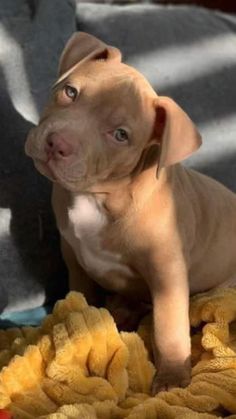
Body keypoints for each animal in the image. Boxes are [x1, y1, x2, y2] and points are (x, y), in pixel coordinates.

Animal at [24, 32, 236, 394]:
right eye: (71, 92)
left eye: (121, 135)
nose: (57, 143)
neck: (99, 198)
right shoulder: (72, 254)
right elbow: (83, 294)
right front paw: (85, 324)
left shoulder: (167, 273)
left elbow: (167, 327)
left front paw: (171, 378)